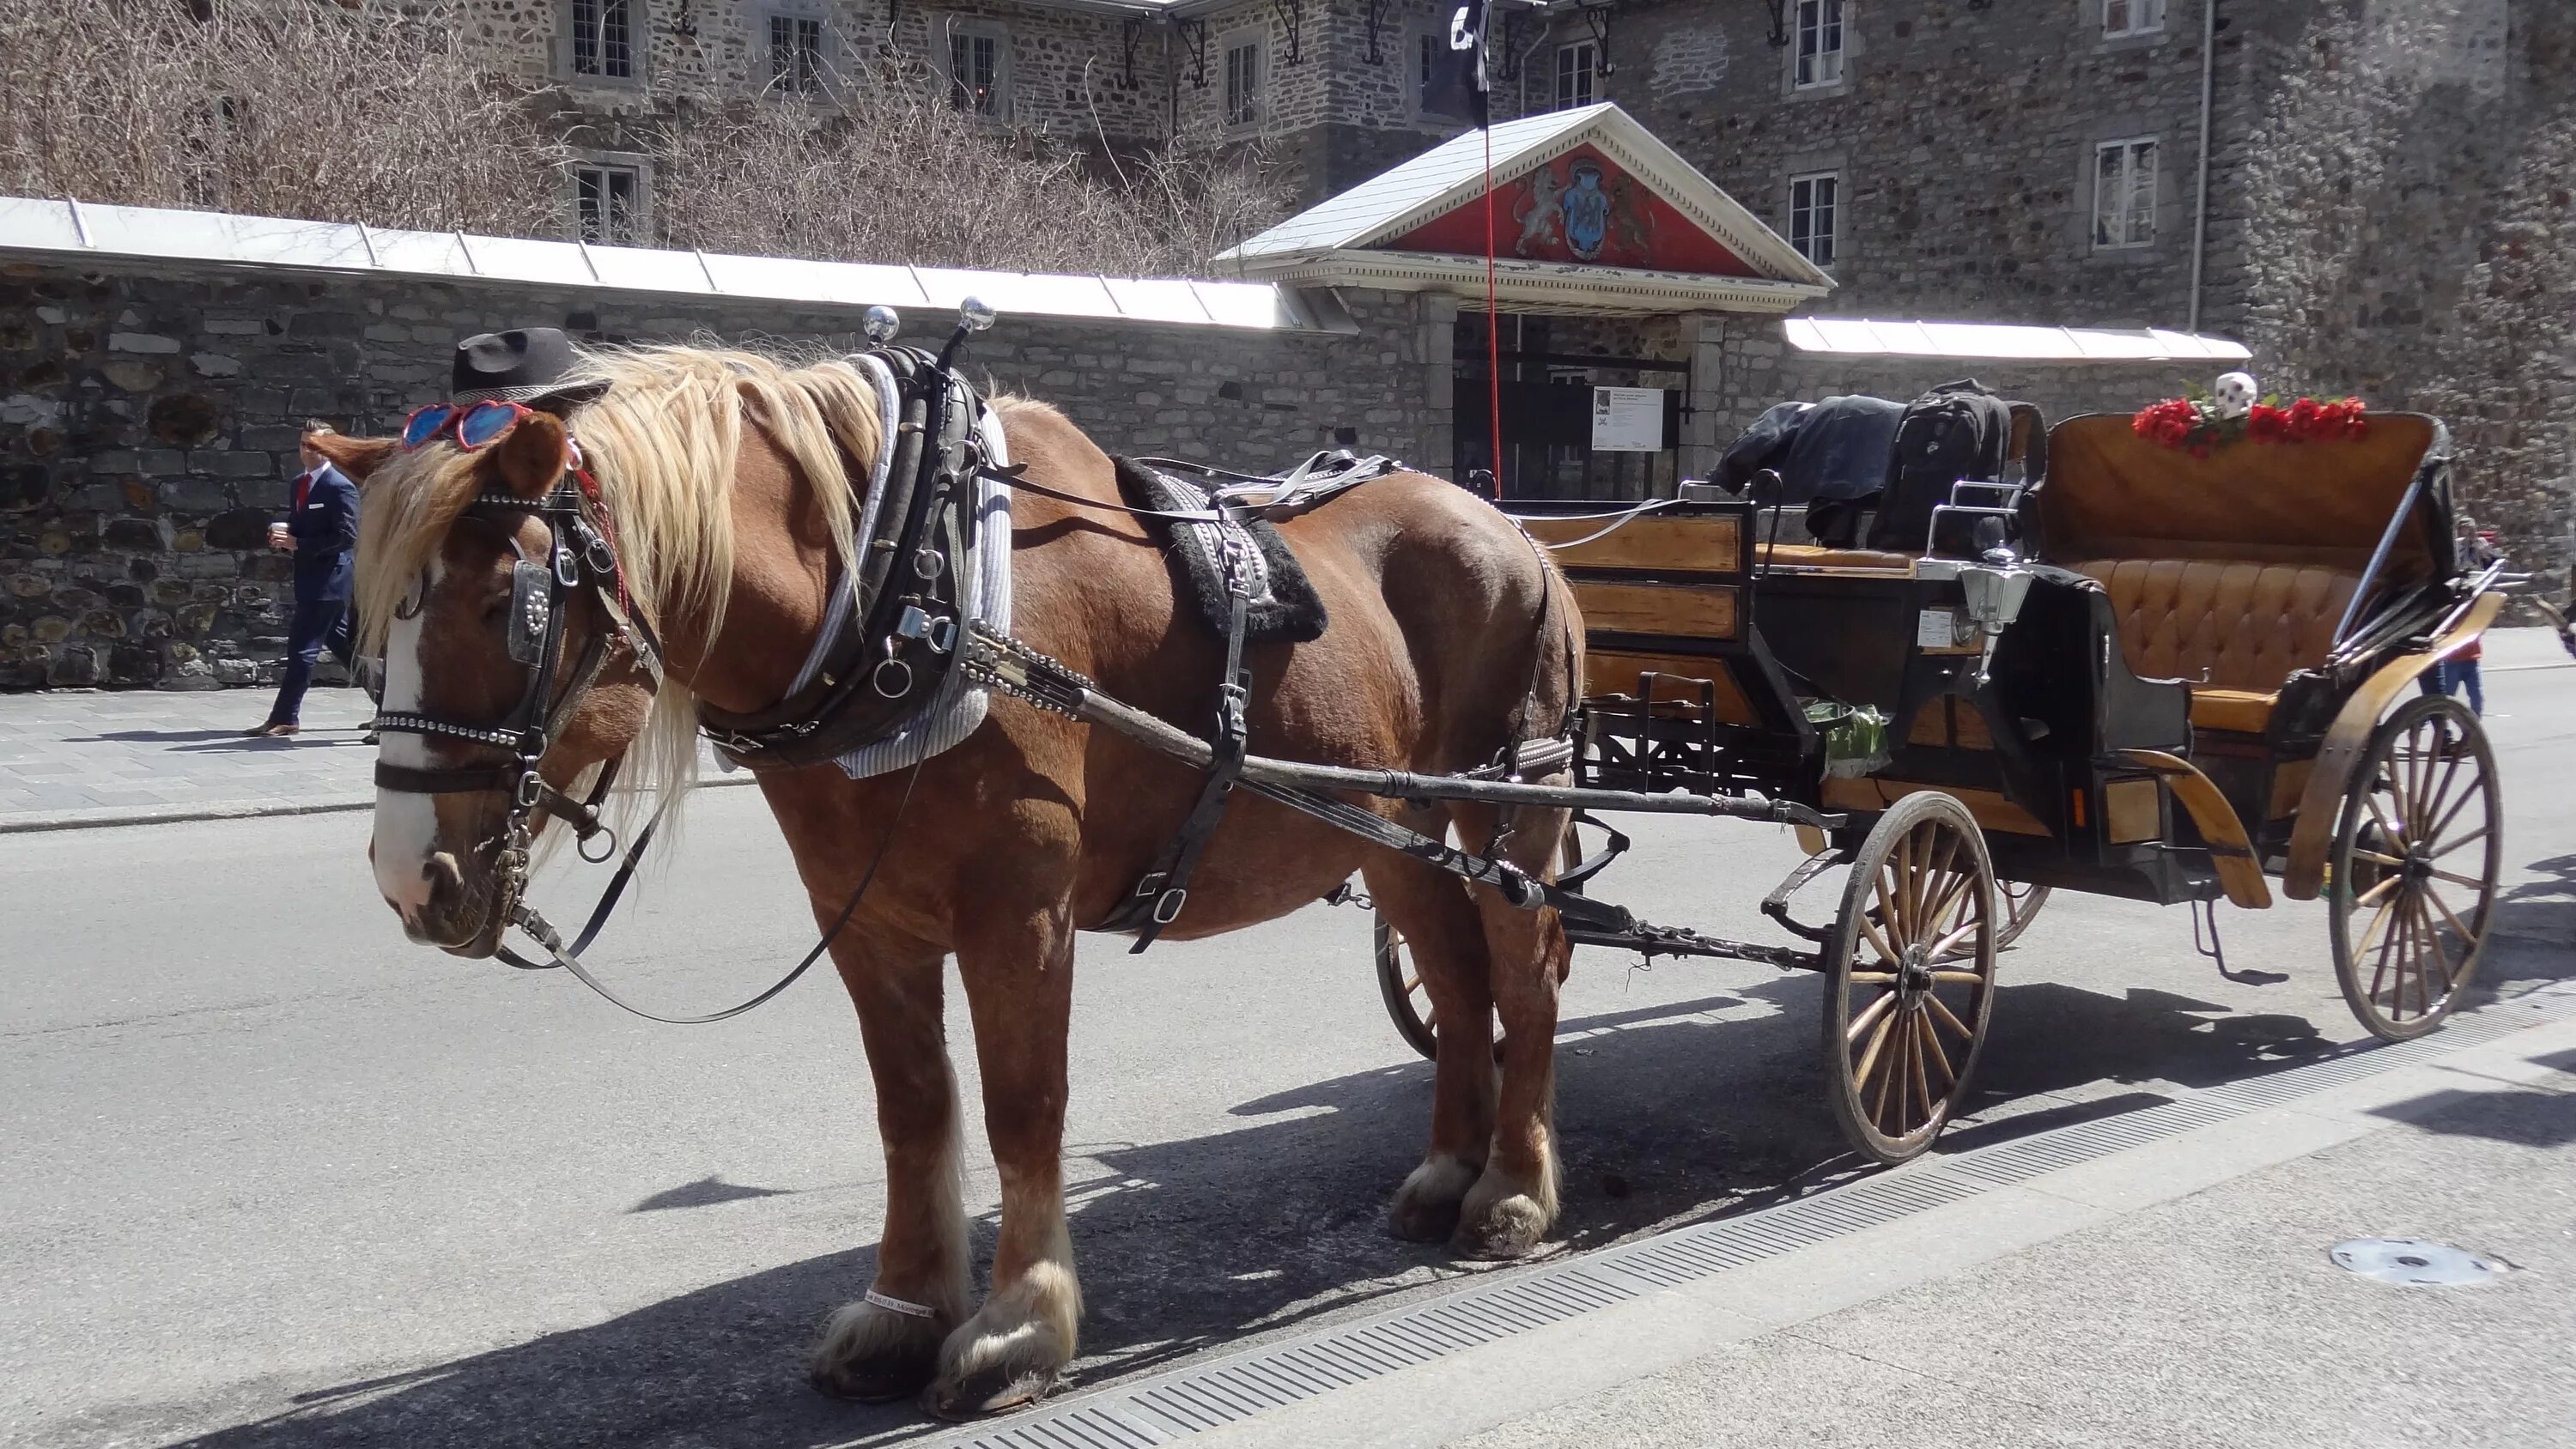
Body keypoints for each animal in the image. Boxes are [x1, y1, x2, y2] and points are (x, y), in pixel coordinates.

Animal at [322, 347, 1566, 1421]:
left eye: (510, 605)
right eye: (371, 617)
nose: (411, 877)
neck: (911, 597)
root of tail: (1513, 530)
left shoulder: (1021, 915)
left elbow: (1023, 1104)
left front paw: (1020, 1322)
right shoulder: (866, 920)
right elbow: (913, 1106)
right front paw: (907, 1307)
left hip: (1510, 811)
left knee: (1523, 980)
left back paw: (1512, 1188)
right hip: (1390, 829)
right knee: (1458, 985)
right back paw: (1449, 1169)